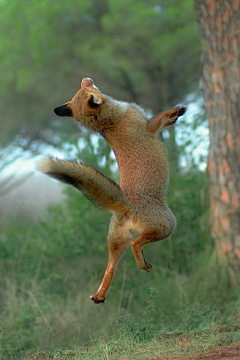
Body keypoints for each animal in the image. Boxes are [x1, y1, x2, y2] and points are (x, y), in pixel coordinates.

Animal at [37, 76, 187, 304]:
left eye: (87, 87)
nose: (87, 78)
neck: (111, 122)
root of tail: (125, 205)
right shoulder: (150, 127)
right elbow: (162, 117)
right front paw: (177, 111)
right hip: (167, 225)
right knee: (136, 243)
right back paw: (141, 264)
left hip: (115, 242)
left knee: (110, 269)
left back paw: (100, 295)